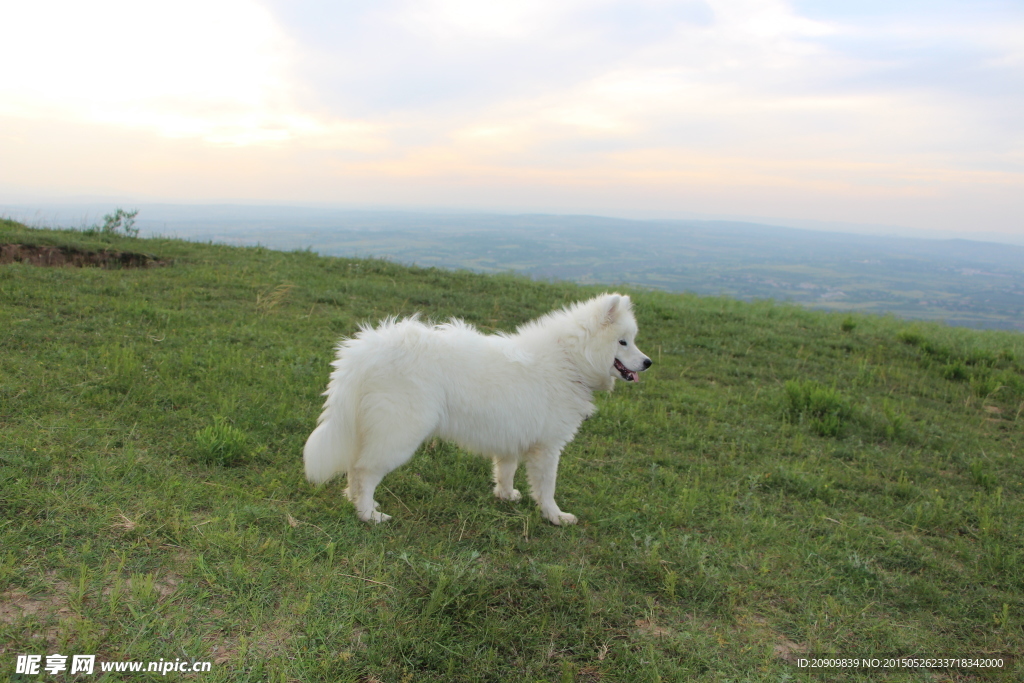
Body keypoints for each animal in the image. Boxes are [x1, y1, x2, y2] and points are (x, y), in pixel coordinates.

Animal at [303, 292, 651, 524]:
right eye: (623, 342)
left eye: (632, 340)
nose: (648, 363)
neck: (570, 359)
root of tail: (366, 349)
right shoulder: (548, 447)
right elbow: (547, 487)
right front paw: (555, 516)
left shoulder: (513, 437)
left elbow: (506, 471)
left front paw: (506, 496)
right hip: (399, 434)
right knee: (364, 472)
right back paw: (368, 515)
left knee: (354, 470)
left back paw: (359, 505)